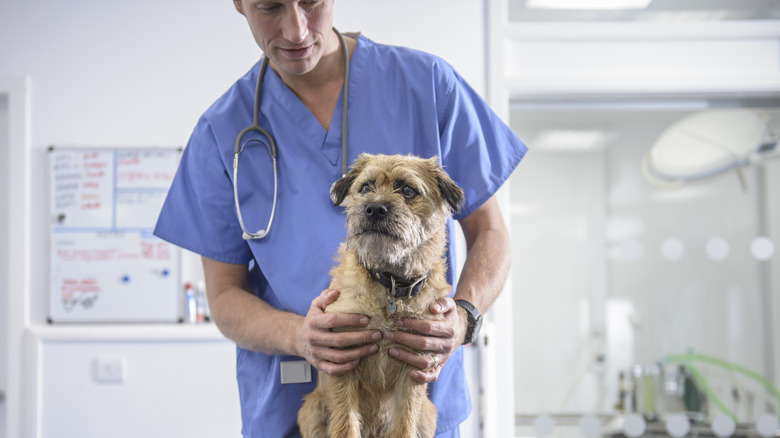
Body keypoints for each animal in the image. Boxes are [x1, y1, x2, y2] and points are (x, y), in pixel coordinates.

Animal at [298, 154, 464, 438]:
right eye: (366, 187)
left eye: (407, 190)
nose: (374, 208)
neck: (391, 285)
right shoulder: (342, 359)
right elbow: (345, 423)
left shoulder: (415, 366)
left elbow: (404, 424)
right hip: (311, 412)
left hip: (427, 415)